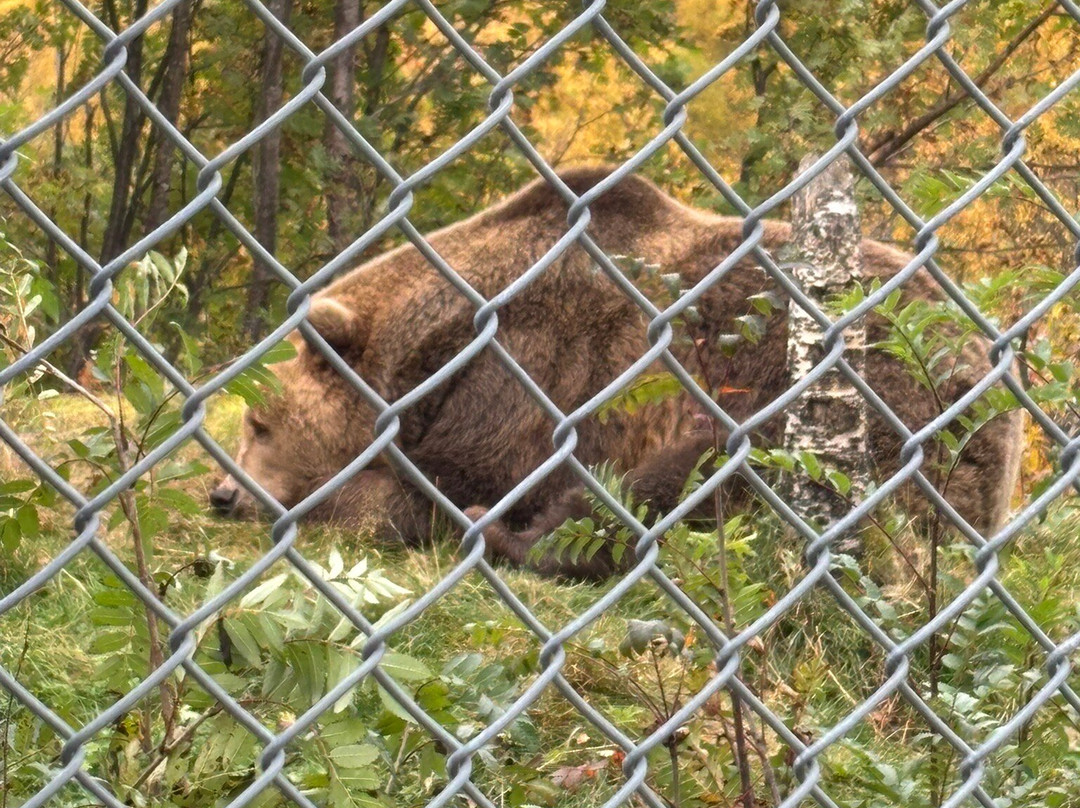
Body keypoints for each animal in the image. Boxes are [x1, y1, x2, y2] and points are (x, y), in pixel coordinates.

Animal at [209, 166, 1023, 578]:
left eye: (259, 422)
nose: (223, 493)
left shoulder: (530, 376)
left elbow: (451, 483)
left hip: (870, 400)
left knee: (704, 477)